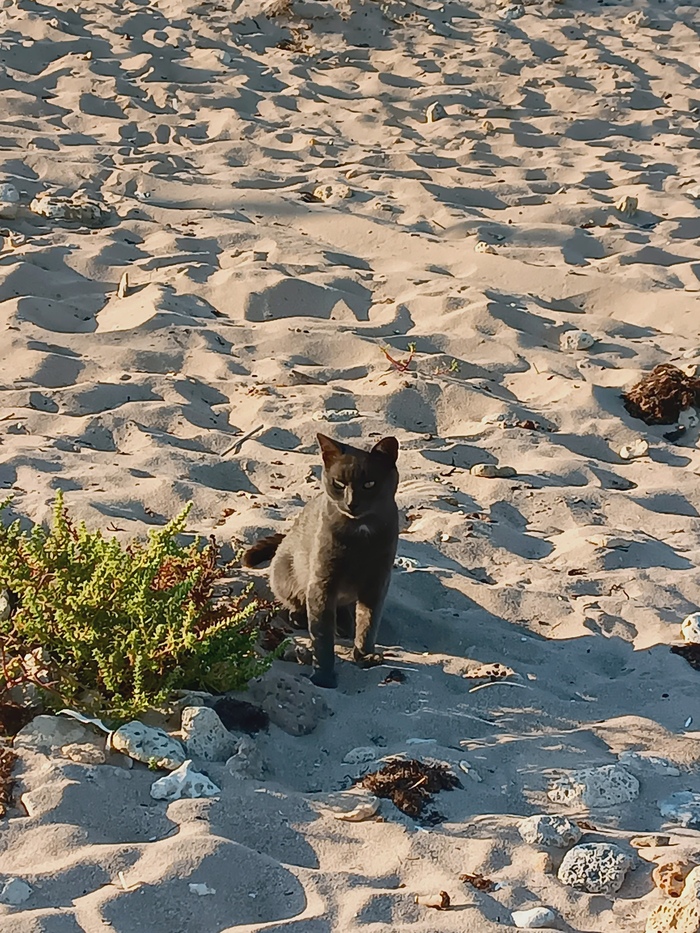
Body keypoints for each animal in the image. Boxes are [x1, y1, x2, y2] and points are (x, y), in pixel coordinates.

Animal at [242, 433, 400, 688]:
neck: (360, 534)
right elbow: (322, 636)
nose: (351, 503)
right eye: (338, 484)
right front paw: (324, 676)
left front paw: (365, 656)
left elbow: (368, 624)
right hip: (286, 574)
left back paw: (345, 624)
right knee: (295, 602)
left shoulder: (377, 582)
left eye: (369, 484)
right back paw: (301, 618)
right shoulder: (322, 582)